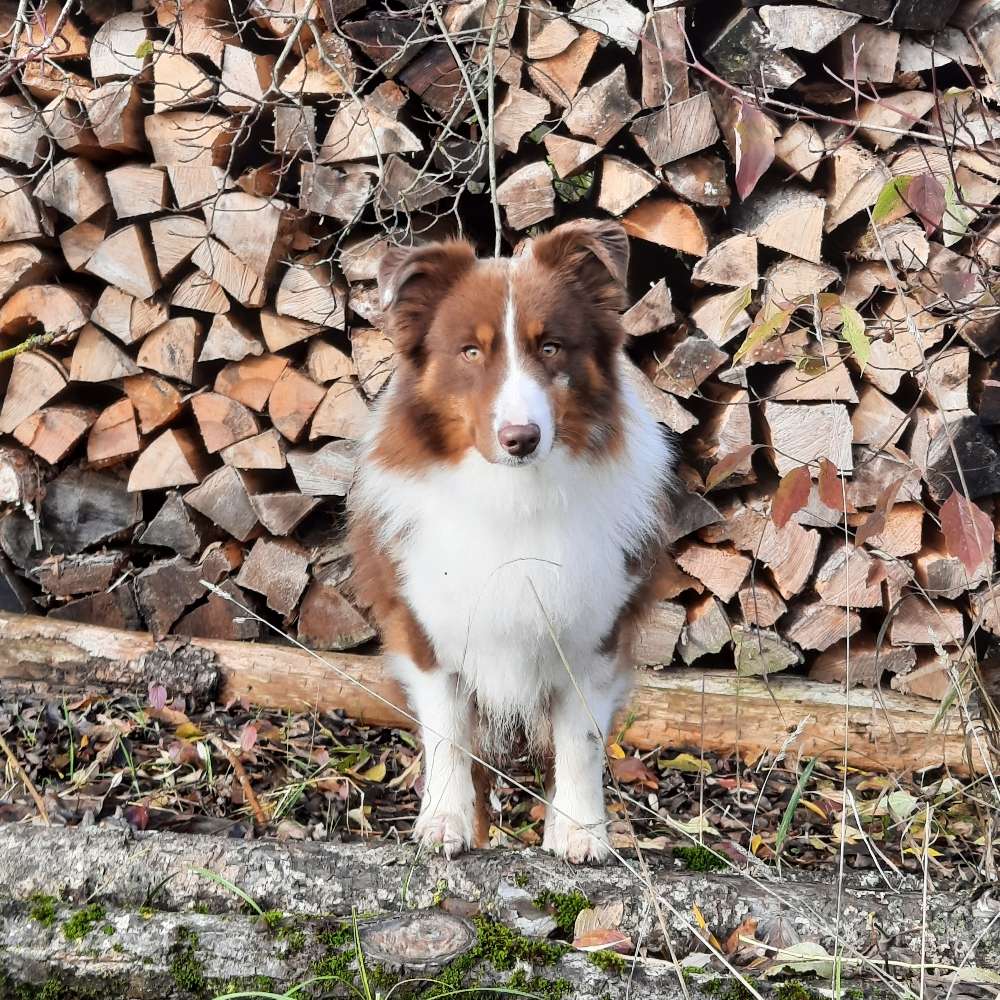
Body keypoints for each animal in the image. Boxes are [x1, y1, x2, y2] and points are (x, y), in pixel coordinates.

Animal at [348, 223, 676, 864]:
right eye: (470, 352)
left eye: (550, 346)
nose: (520, 438)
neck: (513, 497)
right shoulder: (428, 630)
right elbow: (448, 735)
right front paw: (444, 823)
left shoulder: (595, 636)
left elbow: (580, 740)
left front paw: (579, 831)